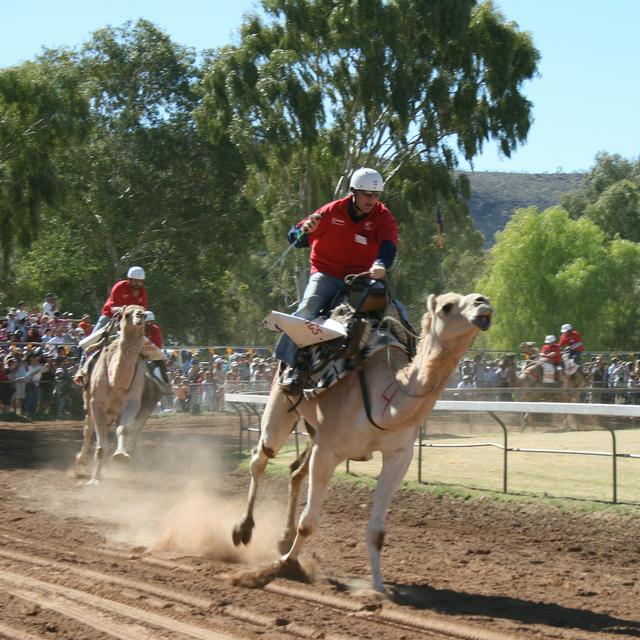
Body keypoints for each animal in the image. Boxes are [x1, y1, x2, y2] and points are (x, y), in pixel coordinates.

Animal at [74, 304, 148, 480]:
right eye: (126, 314)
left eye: (144, 311)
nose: (140, 315)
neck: (117, 383)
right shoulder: (97, 403)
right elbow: (101, 443)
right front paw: (94, 480)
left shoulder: (132, 403)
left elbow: (123, 429)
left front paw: (121, 455)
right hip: (89, 404)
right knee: (88, 430)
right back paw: (81, 463)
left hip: (112, 413)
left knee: (106, 428)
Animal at [232, 292, 492, 592]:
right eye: (447, 306)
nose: (483, 303)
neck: (384, 401)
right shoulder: (328, 451)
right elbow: (308, 522)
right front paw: (284, 566)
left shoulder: (399, 455)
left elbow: (377, 531)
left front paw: (378, 587)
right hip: (281, 403)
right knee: (261, 457)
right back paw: (243, 530)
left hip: (314, 431)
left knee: (295, 472)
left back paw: (283, 539)